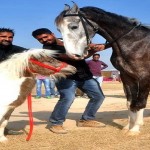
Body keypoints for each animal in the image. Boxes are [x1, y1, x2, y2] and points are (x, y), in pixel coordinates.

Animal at [54, 3, 150, 135]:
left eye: (74, 26)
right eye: (59, 30)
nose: (72, 55)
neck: (134, 42)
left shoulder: (143, 77)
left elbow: (140, 103)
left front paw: (135, 129)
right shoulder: (127, 77)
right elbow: (130, 103)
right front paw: (128, 127)